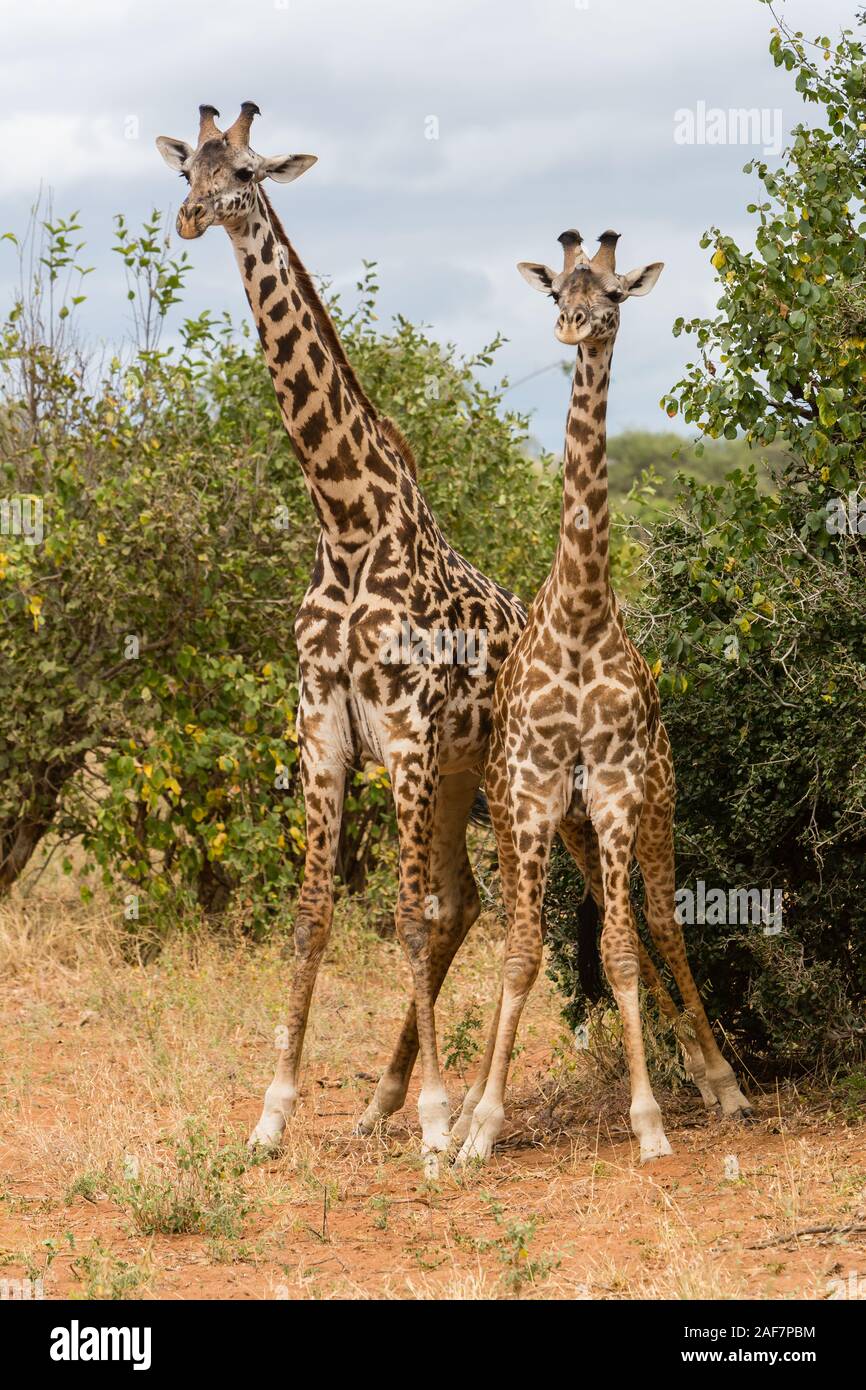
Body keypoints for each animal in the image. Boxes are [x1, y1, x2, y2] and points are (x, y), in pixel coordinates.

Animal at [156, 102, 525, 1167]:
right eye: (185, 168)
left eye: (244, 169)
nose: (192, 218)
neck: (348, 520)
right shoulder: (321, 731)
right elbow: (314, 913)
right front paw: (273, 1112)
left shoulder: (403, 736)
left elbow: (402, 915)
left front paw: (438, 1124)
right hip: (454, 780)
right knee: (465, 902)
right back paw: (381, 1100)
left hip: (489, 775)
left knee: (475, 910)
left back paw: (447, 1110)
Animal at [458, 233, 756, 1167]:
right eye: (560, 288)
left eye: (615, 292)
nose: (574, 325)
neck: (585, 611)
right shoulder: (534, 796)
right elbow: (520, 953)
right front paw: (480, 1123)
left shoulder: (621, 791)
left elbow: (623, 950)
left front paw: (650, 1120)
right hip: (571, 828)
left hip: (650, 810)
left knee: (662, 923)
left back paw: (723, 1084)